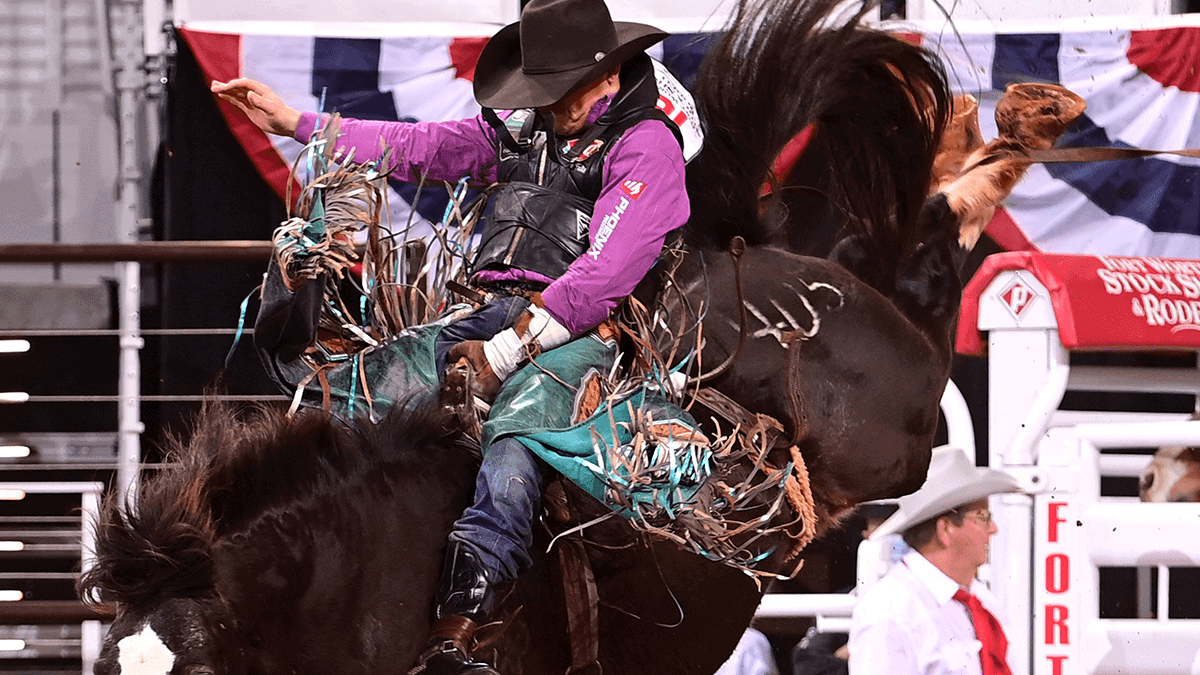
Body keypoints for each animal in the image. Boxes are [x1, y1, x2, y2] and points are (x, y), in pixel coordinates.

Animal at [77, 0, 1089, 667]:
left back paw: (1006, 133)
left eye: (196, 665)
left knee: (930, 258)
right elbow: (442, 142)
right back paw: (982, 129)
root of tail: (738, 255)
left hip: (890, 412)